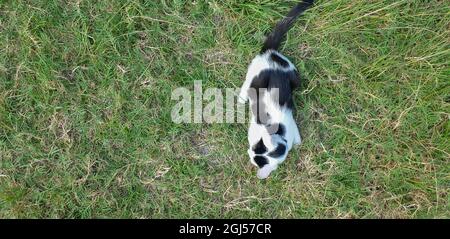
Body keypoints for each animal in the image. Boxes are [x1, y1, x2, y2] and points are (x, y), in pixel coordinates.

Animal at [239, 0, 312, 179]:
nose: (248, 151)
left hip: (294, 76)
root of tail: (271, 52)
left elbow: (296, 140)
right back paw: (242, 98)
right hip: (256, 73)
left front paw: (297, 143)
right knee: (247, 83)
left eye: (253, 154)